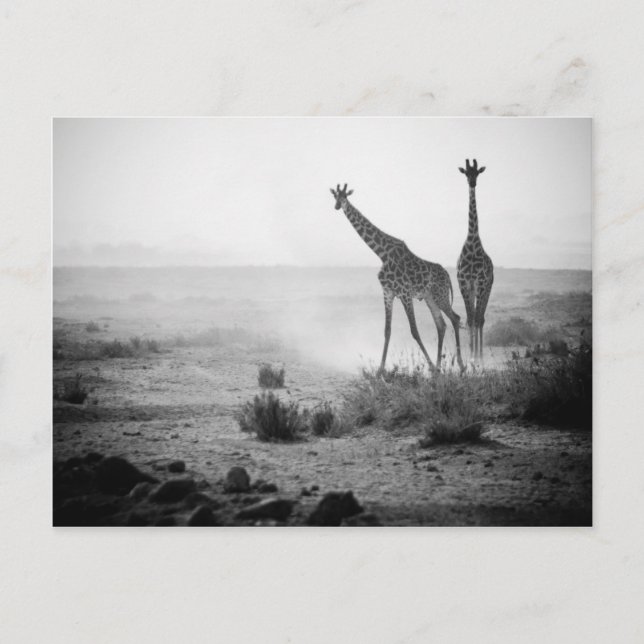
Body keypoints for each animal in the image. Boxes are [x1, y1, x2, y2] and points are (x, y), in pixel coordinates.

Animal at [329, 184, 464, 373]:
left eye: (345, 196)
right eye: (335, 196)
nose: (338, 206)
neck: (381, 253)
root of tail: (447, 276)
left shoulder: (405, 293)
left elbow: (414, 330)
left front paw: (429, 366)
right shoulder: (388, 292)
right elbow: (387, 330)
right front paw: (380, 369)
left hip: (440, 295)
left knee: (455, 319)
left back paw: (460, 366)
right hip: (430, 297)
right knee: (441, 324)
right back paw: (439, 367)